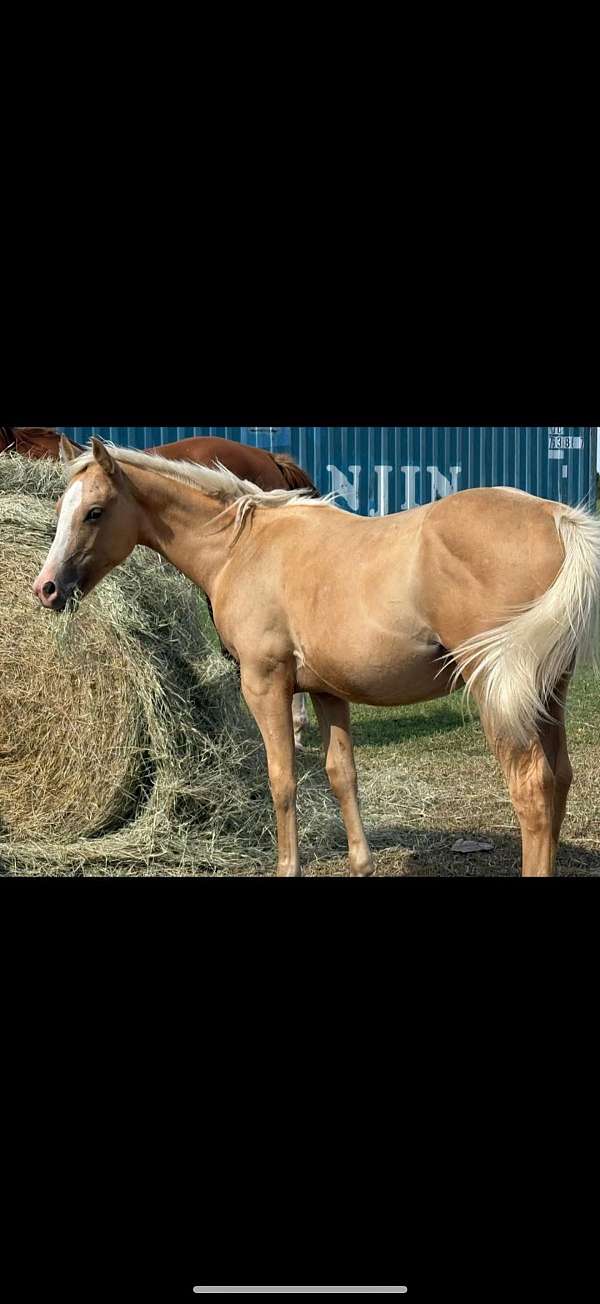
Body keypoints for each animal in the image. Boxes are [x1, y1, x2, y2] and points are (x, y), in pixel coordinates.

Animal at [33, 437, 600, 877]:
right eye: (60, 509)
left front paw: (288, 865)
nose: (47, 589)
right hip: (547, 692)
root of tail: (556, 518)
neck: (240, 546)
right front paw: (360, 863)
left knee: (531, 789)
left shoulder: (265, 685)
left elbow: (282, 778)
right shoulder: (328, 691)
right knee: (559, 779)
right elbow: (341, 775)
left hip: (496, 693)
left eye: (94, 512)